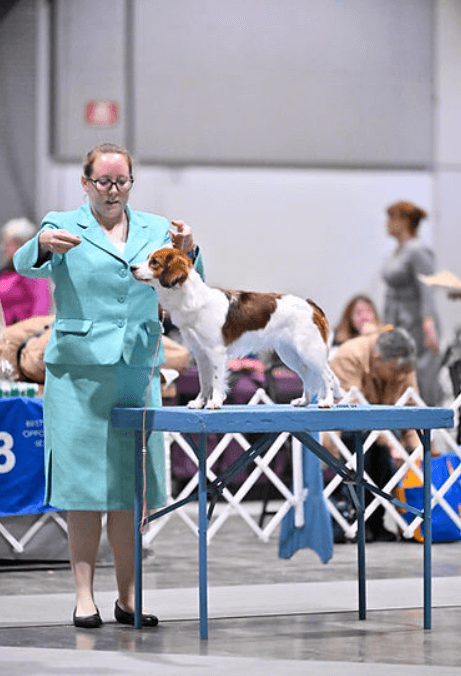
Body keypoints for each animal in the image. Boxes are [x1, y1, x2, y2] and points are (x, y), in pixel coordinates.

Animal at [131, 248, 342, 409]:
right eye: (148, 259)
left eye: (154, 262)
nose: (132, 267)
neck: (190, 298)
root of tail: (311, 305)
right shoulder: (200, 353)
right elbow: (204, 381)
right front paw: (199, 403)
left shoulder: (215, 352)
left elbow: (216, 380)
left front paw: (214, 403)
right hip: (290, 354)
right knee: (307, 376)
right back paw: (304, 401)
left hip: (309, 351)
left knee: (328, 376)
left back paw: (327, 402)